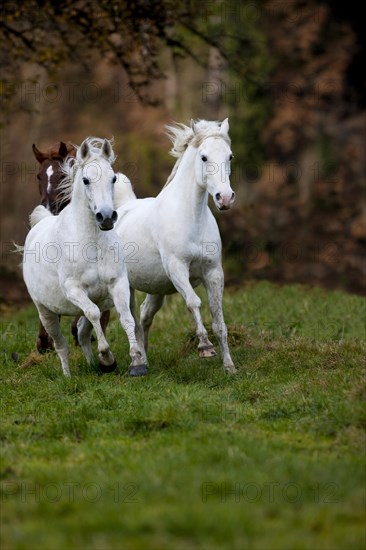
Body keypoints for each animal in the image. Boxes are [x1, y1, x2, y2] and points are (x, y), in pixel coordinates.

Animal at [115, 119, 237, 376]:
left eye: (229, 156)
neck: (192, 219)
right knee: (130, 319)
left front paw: (229, 366)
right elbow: (194, 303)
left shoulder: (214, 273)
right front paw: (205, 348)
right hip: (125, 287)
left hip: (156, 288)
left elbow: (218, 319)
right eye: (203, 157)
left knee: (144, 316)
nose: (225, 198)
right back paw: (136, 363)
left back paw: (145, 360)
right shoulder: (177, 269)